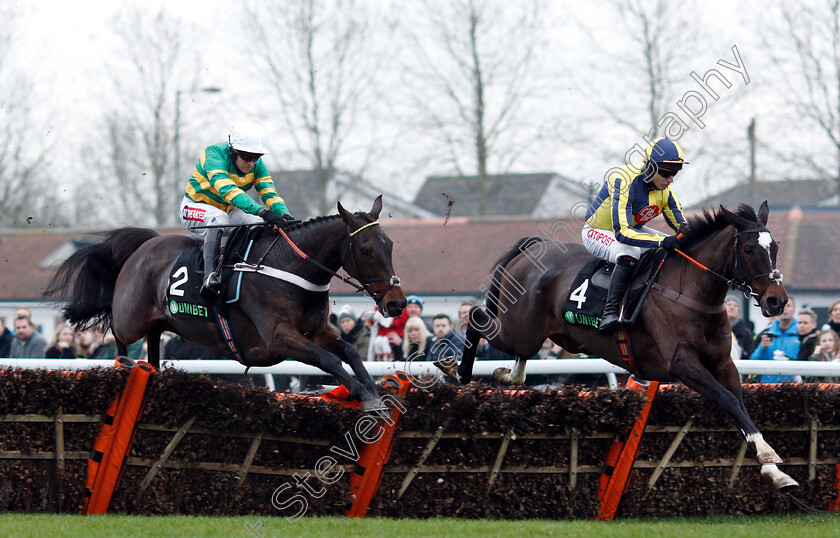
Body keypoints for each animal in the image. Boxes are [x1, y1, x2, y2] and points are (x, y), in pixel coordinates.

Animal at [46, 195, 406, 408]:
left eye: (389, 245)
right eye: (366, 250)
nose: (396, 304)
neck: (291, 267)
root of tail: (145, 246)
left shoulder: (319, 331)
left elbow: (348, 352)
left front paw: (373, 393)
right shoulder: (278, 337)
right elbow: (328, 360)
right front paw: (362, 395)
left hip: (158, 322)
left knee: (151, 348)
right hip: (129, 318)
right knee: (119, 338)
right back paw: (126, 367)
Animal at [440, 202, 800, 490]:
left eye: (775, 246)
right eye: (750, 249)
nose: (777, 301)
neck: (689, 291)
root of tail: (535, 247)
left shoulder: (723, 362)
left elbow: (739, 404)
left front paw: (775, 470)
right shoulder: (682, 363)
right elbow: (727, 399)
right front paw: (769, 458)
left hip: (541, 335)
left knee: (519, 360)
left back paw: (504, 375)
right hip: (518, 328)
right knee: (476, 318)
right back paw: (453, 369)